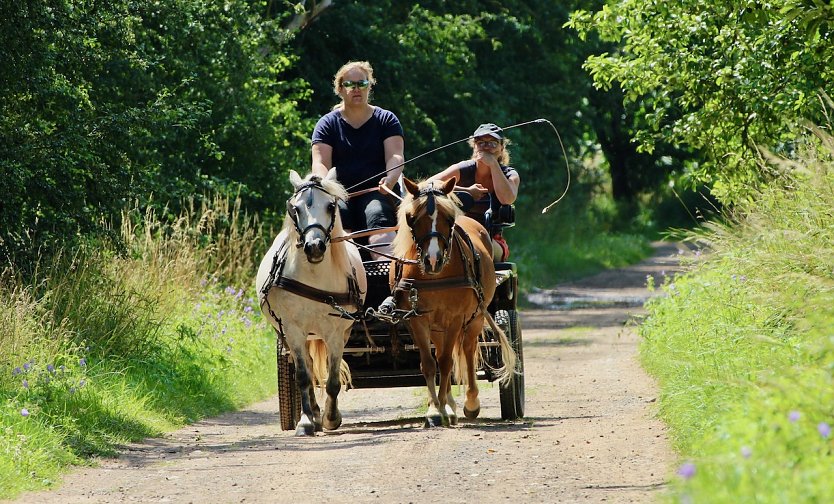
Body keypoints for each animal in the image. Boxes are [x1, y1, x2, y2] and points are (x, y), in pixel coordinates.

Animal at [255, 167, 366, 436]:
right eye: (295, 208)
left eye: (330, 206)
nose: (314, 247)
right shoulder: (293, 329)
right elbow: (304, 376)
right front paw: (306, 421)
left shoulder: (335, 332)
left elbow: (333, 380)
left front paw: (331, 418)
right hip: (291, 334)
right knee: (305, 364)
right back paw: (313, 413)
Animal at [390, 177, 512, 426]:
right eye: (412, 217)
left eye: (449, 218)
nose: (433, 260)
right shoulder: (416, 319)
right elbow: (429, 364)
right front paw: (435, 410)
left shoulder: (456, 317)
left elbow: (446, 362)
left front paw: (444, 408)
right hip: (438, 325)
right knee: (440, 352)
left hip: (475, 317)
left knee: (468, 349)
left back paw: (470, 402)